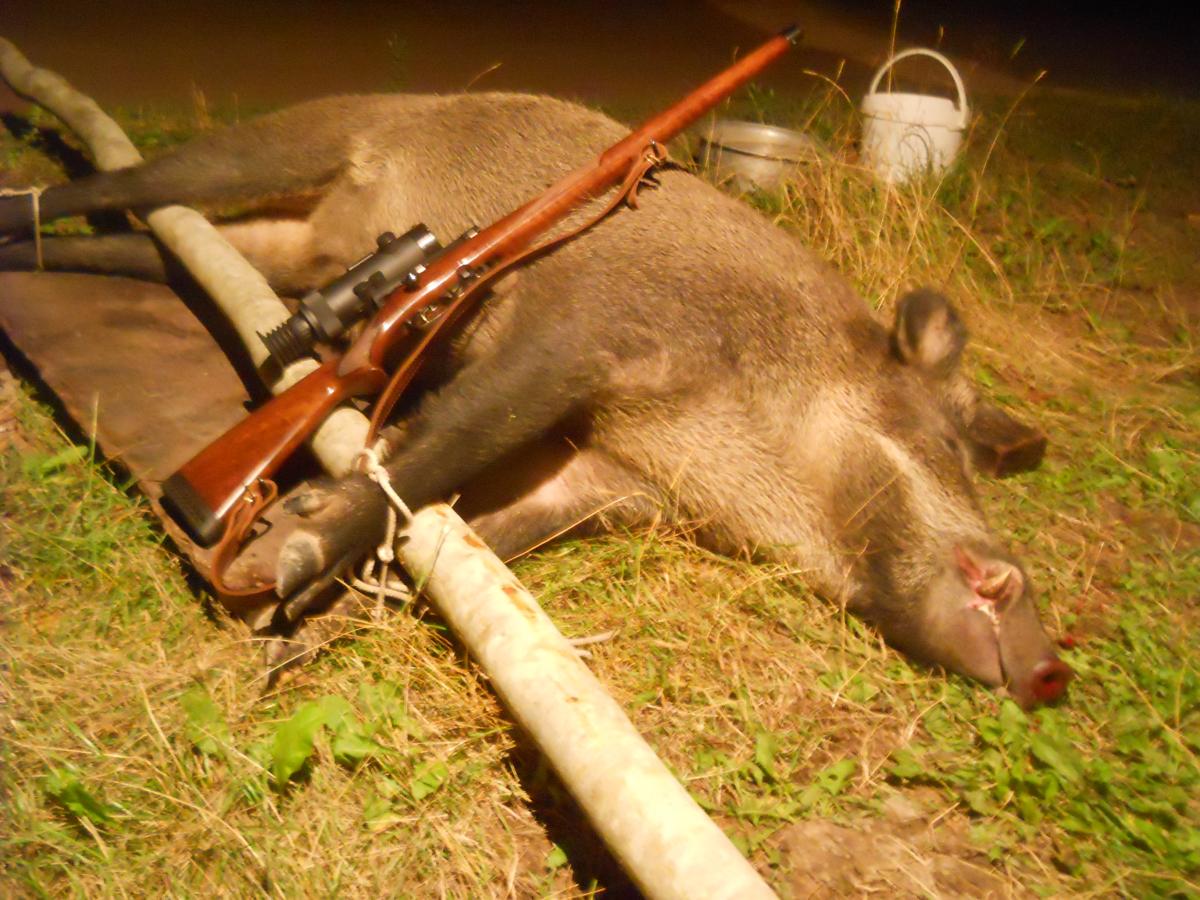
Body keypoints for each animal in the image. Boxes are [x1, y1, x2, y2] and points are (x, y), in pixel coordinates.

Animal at [0, 92, 1071, 706]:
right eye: (946, 438)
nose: (1053, 666)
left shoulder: (605, 481)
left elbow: (474, 539)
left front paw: (291, 639)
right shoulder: (583, 330)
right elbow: (447, 446)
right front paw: (292, 554)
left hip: (285, 249)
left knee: (152, 248)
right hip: (297, 136)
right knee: (136, 182)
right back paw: (24, 209)